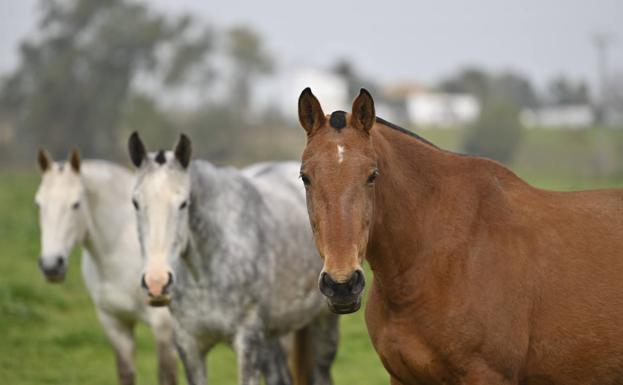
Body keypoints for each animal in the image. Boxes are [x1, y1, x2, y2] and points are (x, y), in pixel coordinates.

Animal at [36, 148, 178, 384]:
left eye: (76, 204)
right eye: (38, 204)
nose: (51, 265)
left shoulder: (163, 327)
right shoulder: (114, 323)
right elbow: (125, 373)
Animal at [129, 133, 338, 384]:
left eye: (184, 203)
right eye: (135, 203)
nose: (156, 282)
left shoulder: (247, 340)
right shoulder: (189, 346)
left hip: (322, 322)